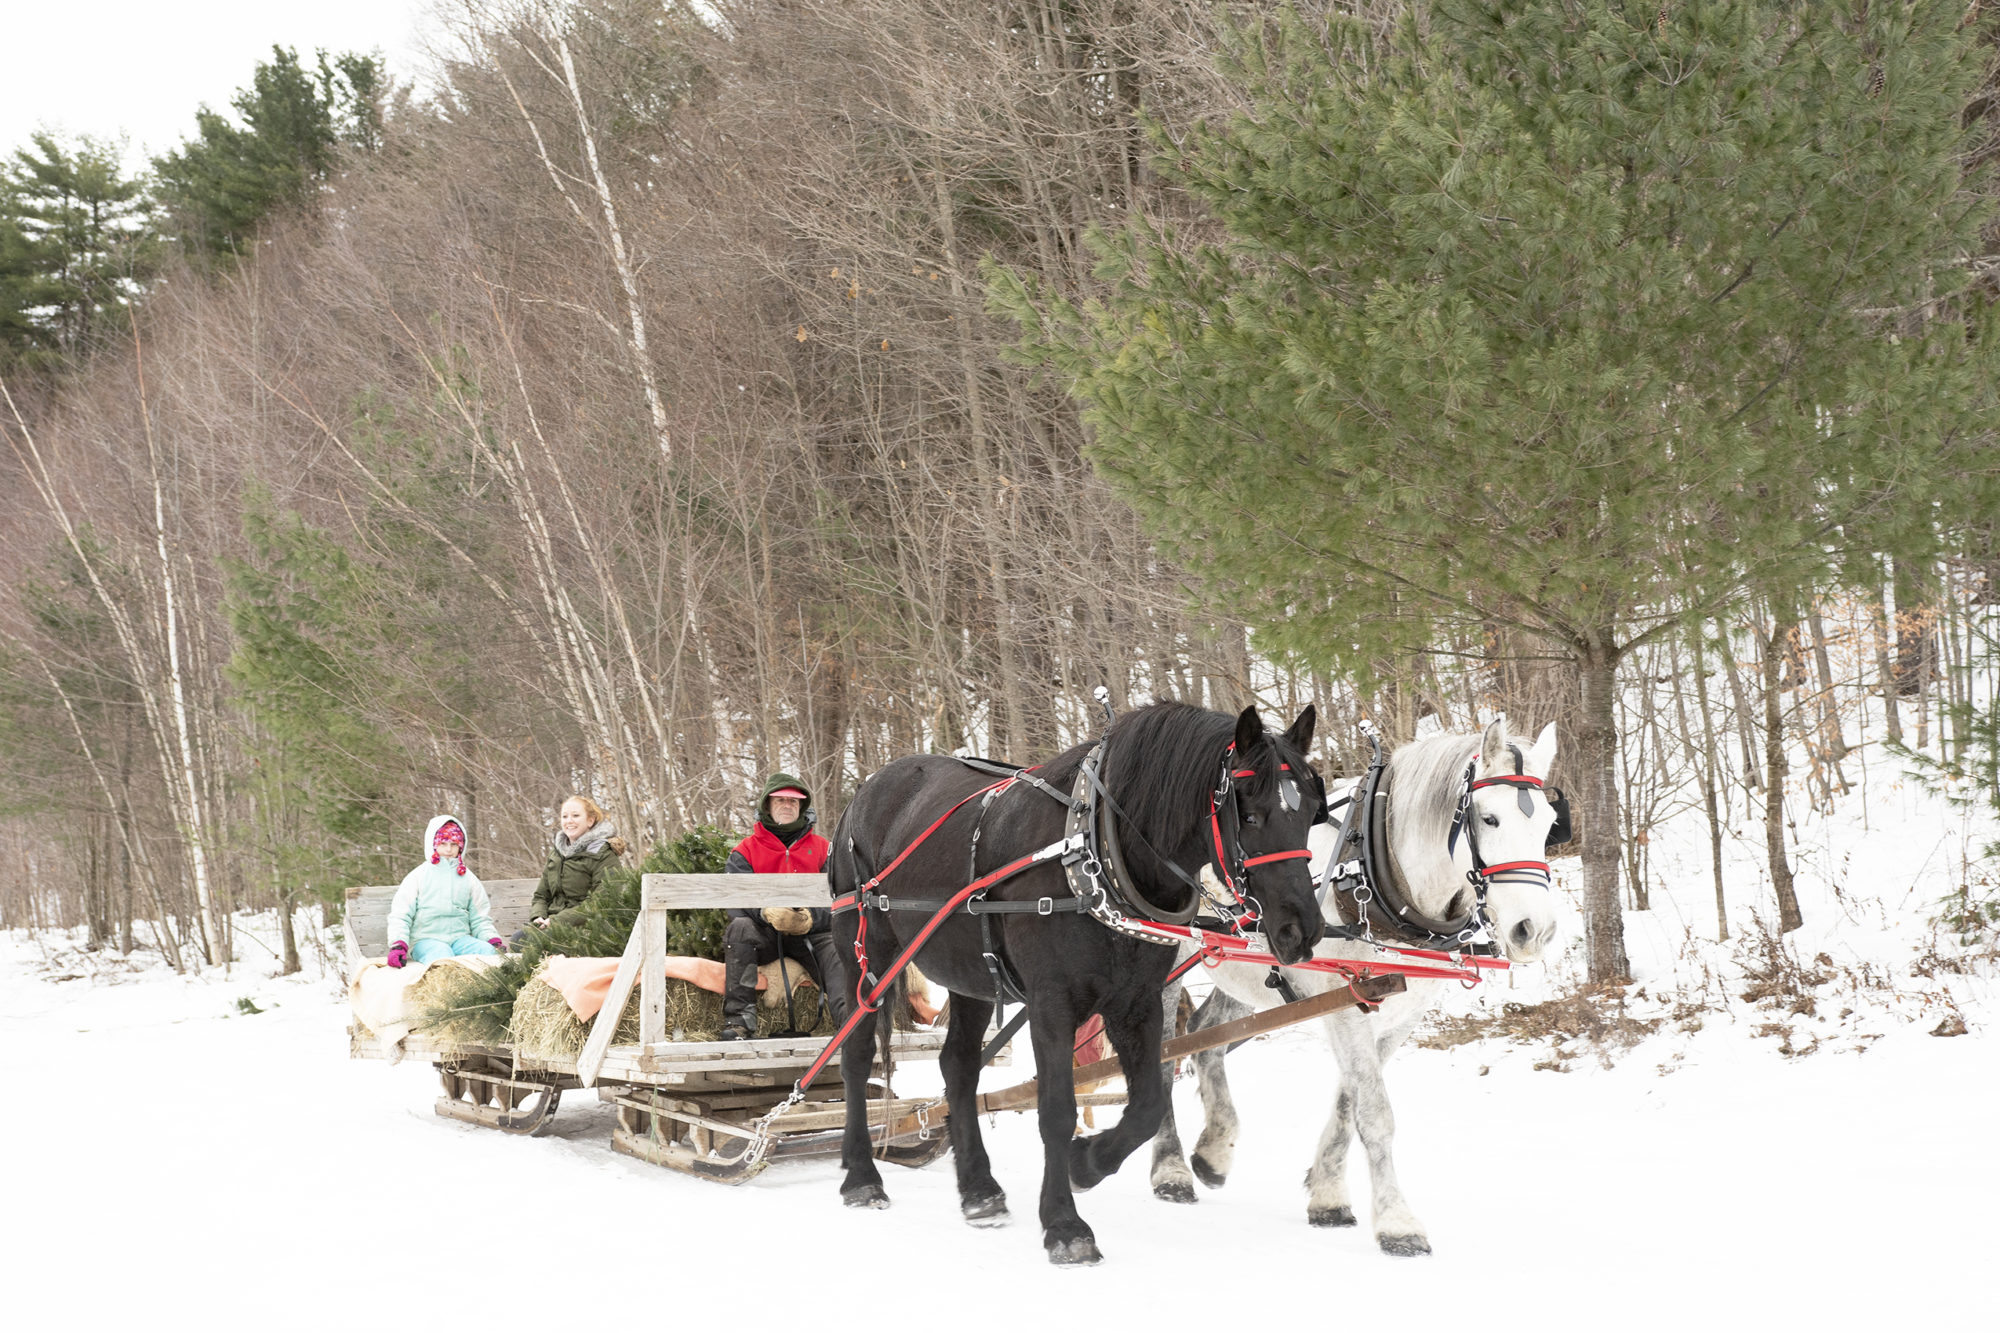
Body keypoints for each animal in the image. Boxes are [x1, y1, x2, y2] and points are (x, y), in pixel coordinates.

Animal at [828, 700, 1328, 1264]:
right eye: (1249, 812)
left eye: (1311, 810)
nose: (1301, 929)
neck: (1096, 851)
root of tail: (865, 790)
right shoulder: (1052, 1004)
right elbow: (1057, 1111)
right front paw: (1065, 1225)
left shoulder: (1137, 1001)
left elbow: (1147, 1104)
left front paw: (1087, 1162)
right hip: (866, 955)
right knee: (855, 1055)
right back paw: (862, 1176)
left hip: (970, 971)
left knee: (957, 1065)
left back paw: (979, 1189)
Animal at [1152, 716, 1568, 1248]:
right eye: (1490, 819)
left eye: (1549, 825)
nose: (1533, 930)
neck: (1374, 869)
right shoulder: (1345, 1004)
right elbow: (1375, 1112)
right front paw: (1396, 1221)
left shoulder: (1396, 1016)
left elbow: (1349, 1104)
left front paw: (1327, 1194)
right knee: (1162, 1055)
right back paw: (1170, 1170)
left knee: (1207, 1038)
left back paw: (1214, 1150)